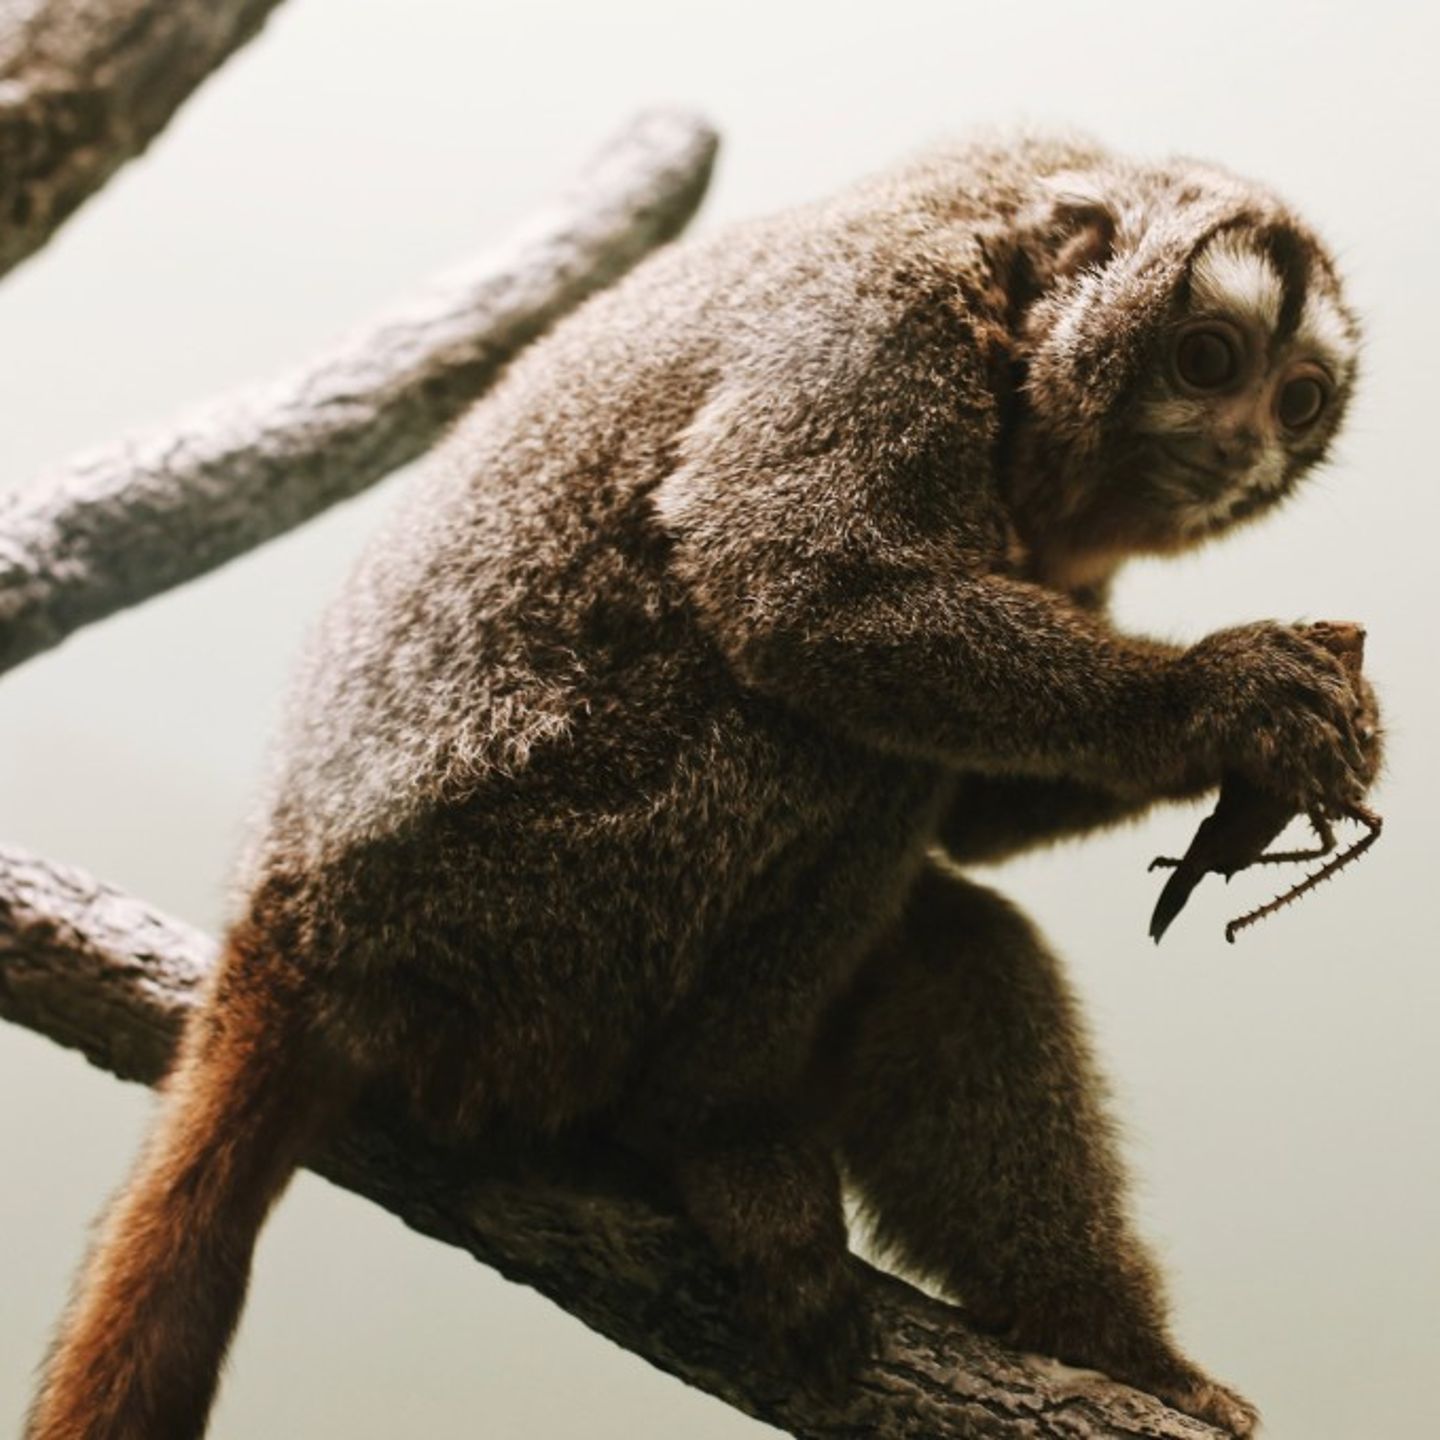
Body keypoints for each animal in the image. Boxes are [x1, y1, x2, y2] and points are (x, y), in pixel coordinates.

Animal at [25, 133, 1379, 1440]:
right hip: (506, 927)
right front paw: (1220, 695)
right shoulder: (882, 319)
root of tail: (283, 924)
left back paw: (1105, 1342)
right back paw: (714, 1137)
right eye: (1208, 359)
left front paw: (1311, 737)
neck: (1008, 338)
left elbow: (980, 822)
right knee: (831, 746)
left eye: (1297, 398)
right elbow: (799, 592)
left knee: (956, 933)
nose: (1243, 445)